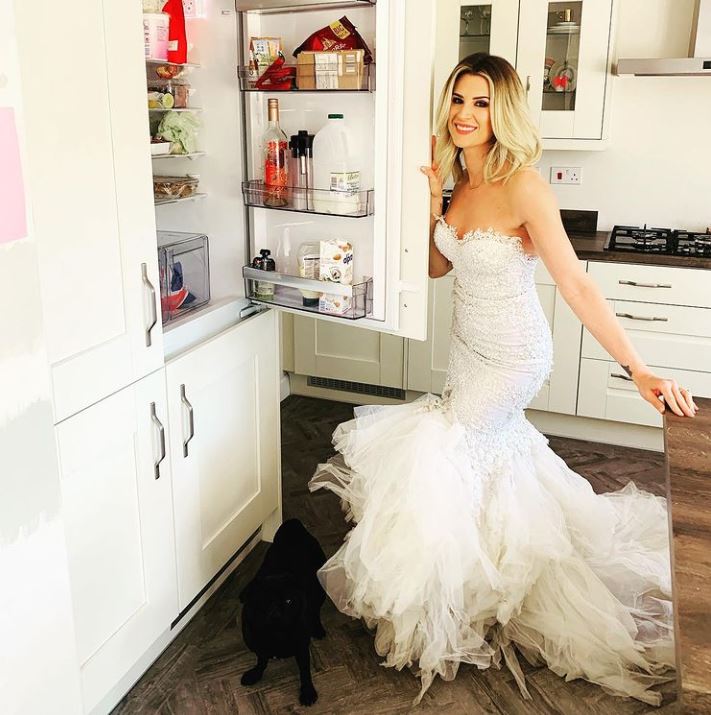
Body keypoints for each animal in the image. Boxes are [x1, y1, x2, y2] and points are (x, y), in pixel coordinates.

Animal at [239, 516, 328, 708]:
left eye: (288, 601)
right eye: (264, 601)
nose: (276, 614)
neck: (276, 634)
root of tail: (294, 527)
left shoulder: (302, 648)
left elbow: (305, 671)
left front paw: (307, 691)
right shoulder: (259, 648)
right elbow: (261, 661)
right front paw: (256, 673)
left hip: (320, 590)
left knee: (316, 610)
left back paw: (317, 628)